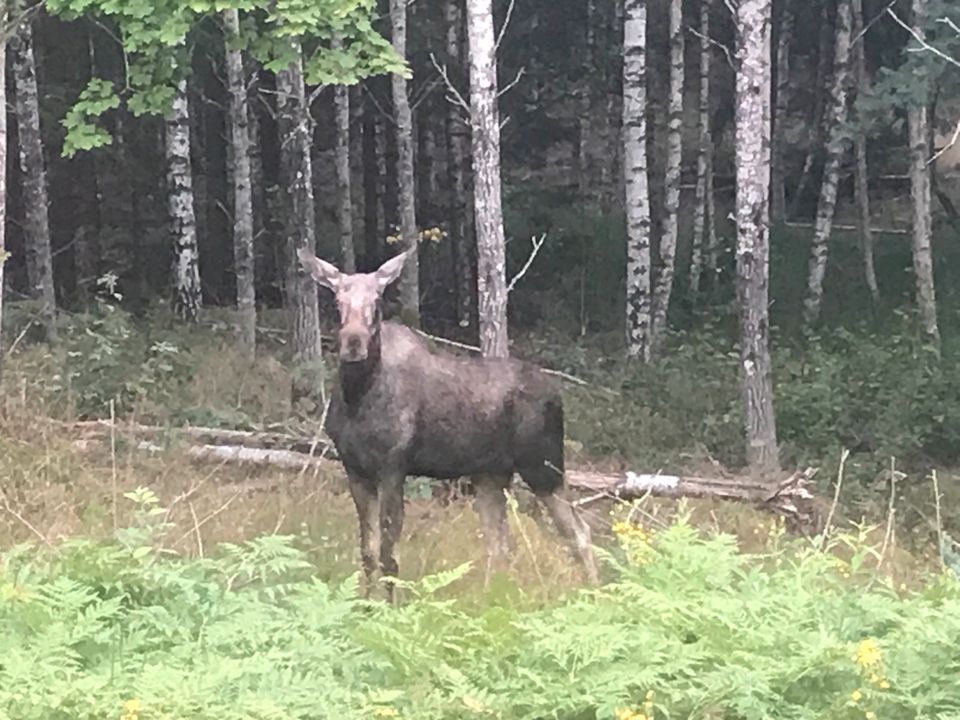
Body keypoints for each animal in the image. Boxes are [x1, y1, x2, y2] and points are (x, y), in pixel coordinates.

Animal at [298, 245, 600, 600]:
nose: (353, 342)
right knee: (500, 543)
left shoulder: (392, 467)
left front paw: (388, 607)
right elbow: (368, 553)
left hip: (543, 467)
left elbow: (389, 555)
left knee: (579, 531)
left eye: (377, 300)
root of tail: (557, 393)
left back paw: (596, 593)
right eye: (337, 301)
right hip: (490, 475)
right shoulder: (355, 470)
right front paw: (365, 604)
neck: (356, 396)